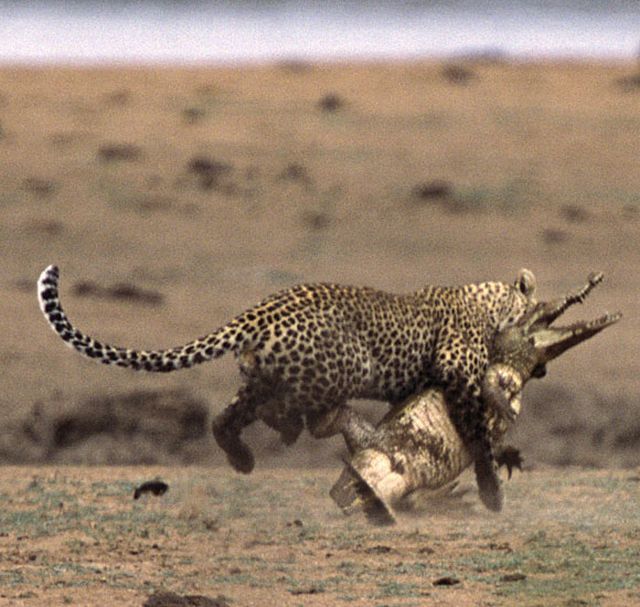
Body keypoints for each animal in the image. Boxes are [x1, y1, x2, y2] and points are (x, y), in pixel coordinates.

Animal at [37, 264, 537, 508]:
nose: (534, 335)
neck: (489, 302)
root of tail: (261, 310)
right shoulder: (457, 373)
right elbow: (477, 432)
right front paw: (492, 492)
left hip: (263, 373)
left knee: (229, 415)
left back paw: (243, 457)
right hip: (343, 365)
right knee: (283, 408)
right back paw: (291, 430)